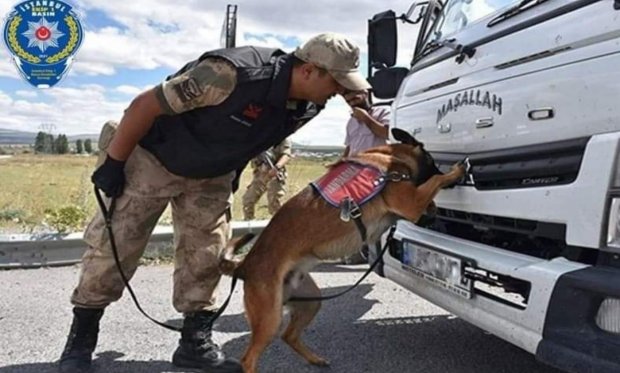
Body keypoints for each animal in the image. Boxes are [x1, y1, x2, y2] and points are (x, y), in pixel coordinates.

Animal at [220, 129, 462, 372]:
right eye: (431, 160)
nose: (449, 174)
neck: (390, 158)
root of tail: (244, 265)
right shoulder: (410, 202)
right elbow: (434, 182)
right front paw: (455, 172)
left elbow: (429, 192)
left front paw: (436, 201)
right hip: (270, 318)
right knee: (249, 358)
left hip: (311, 302)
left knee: (289, 336)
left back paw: (315, 359)